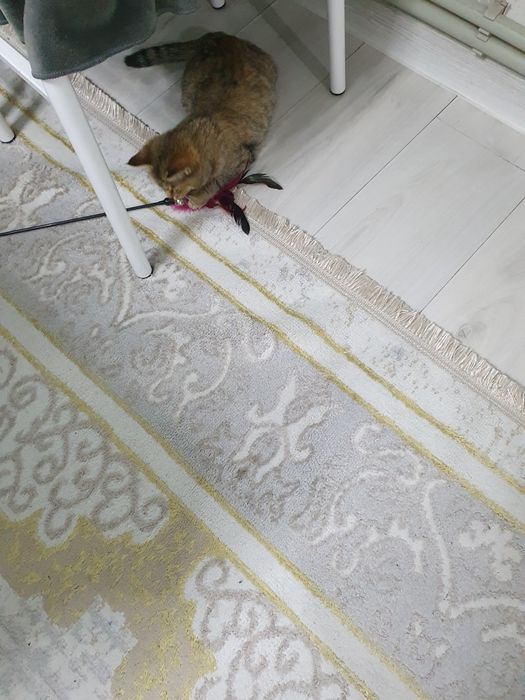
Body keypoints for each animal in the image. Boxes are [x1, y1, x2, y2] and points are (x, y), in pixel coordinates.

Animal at [125, 32, 277, 209]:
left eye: (173, 188)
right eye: (162, 188)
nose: (171, 198)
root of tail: (215, 37)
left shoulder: (240, 161)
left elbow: (216, 182)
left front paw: (199, 198)